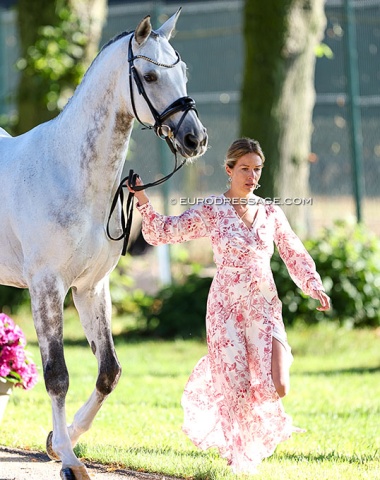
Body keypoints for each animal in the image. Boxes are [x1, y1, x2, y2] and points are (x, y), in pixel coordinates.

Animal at [0, 11, 208, 480]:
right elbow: (57, 375)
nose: (195, 139)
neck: (68, 172)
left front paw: (58, 441)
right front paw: (70, 460)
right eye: (149, 76)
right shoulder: (47, 288)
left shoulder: (91, 288)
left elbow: (108, 371)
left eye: (185, 72)